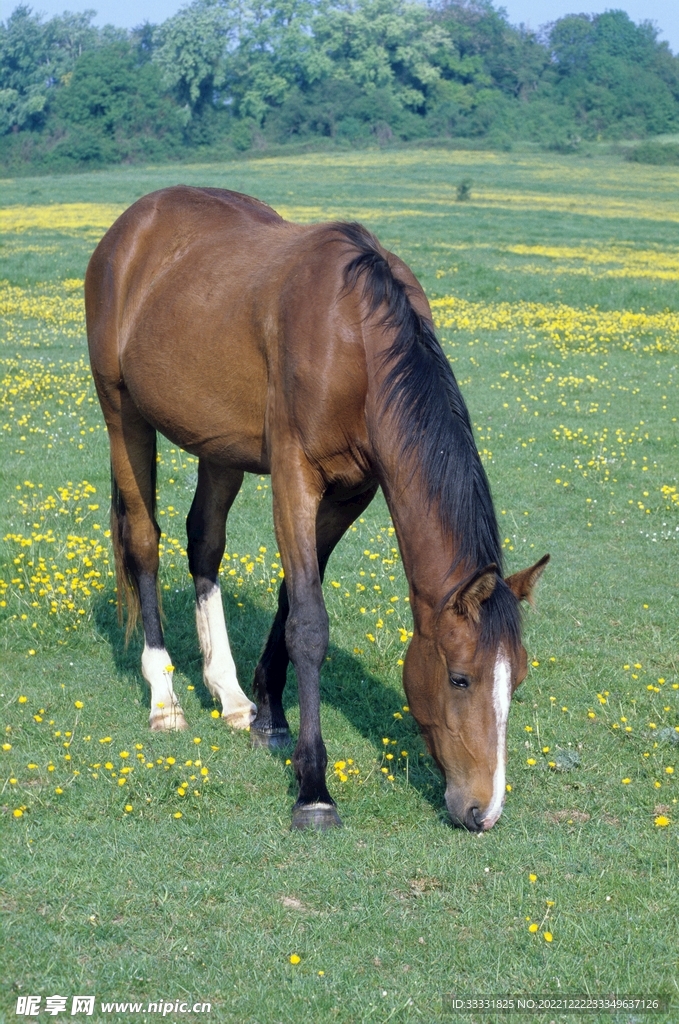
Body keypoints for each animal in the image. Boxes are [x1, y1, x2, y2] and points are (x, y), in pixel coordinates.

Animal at [85, 185, 548, 832]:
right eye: (461, 678)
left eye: (519, 678)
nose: (484, 809)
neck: (353, 337)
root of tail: (130, 227)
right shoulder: (294, 476)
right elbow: (308, 621)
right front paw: (312, 788)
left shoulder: (353, 492)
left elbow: (291, 594)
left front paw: (268, 714)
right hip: (122, 413)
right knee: (144, 543)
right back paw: (165, 699)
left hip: (218, 447)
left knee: (204, 542)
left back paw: (229, 694)